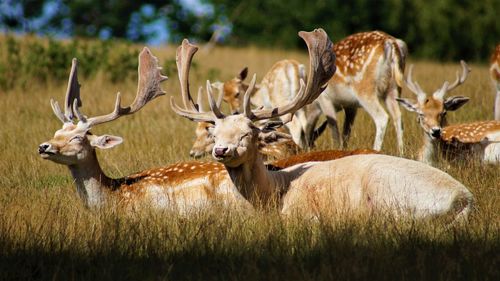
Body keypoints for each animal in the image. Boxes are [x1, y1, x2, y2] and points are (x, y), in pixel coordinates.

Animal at [171, 29, 472, 221]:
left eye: (247, 134)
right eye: (215, 134)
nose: (220, 150)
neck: (274, 193)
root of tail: (465, 200)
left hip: (389, 195)